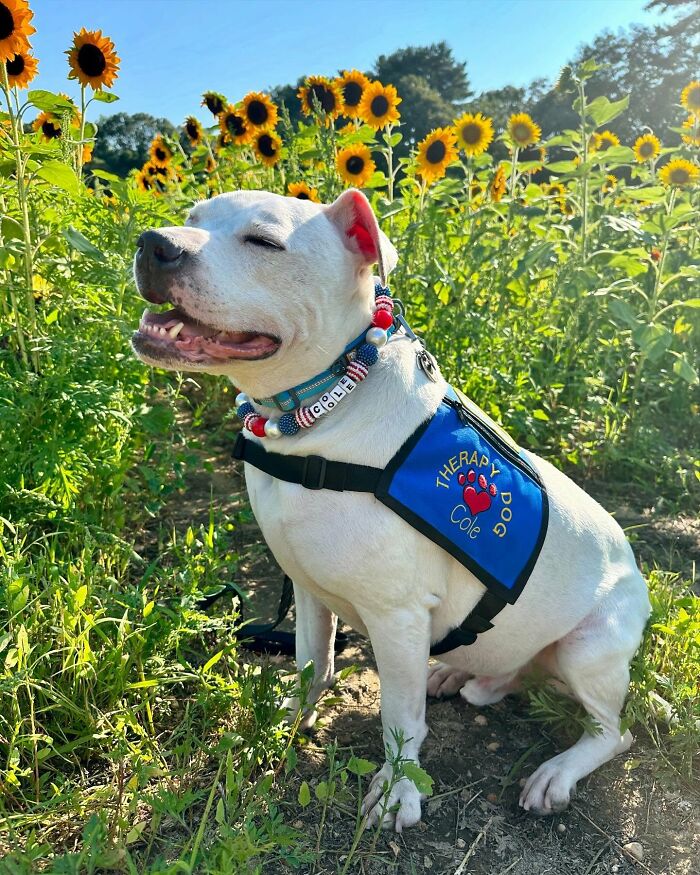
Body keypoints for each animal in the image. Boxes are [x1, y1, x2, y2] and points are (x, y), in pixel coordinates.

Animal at [133, 188, 652, 832]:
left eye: (263, 241)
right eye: (192, 218)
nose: (153, 243)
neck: (321, 413)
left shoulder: (398, 617)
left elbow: (400, 718)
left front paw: (398, 790)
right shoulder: (308, 587)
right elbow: (312, 662)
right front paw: (290, 720)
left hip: (590, 649)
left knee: (613, 733)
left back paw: (558, 770)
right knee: (510, 669)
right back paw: (459, 673)